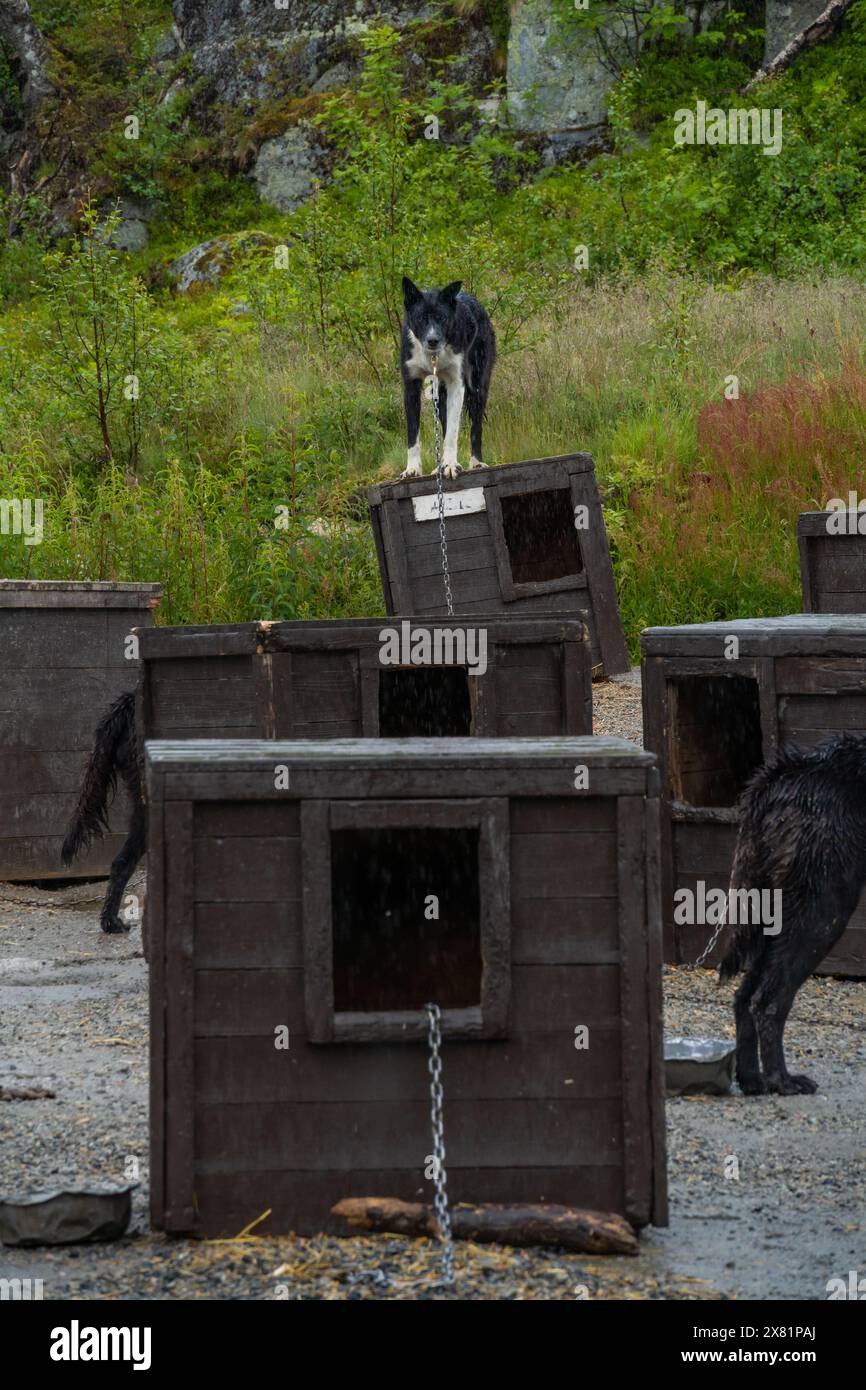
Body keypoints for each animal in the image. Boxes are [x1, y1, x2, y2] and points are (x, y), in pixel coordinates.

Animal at [400, 276, 494, 483]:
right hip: (440, 394)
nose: (433, 340)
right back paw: (438, 467)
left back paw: (476, 463)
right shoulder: (410, 387)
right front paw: (412, 469)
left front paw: (451, 466)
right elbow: (412, 435)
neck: (433, 356)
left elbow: (452, 432)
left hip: (478, 388)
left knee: (476, 429)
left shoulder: (457, 385)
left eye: (442, 318)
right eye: (421, 318)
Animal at [717, 739, 866, 1095]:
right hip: (824, 909)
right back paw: (780, 1080)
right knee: (768, 1000)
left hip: (778, 915)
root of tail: (777, 777)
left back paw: (753, 1079)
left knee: (745, 996)